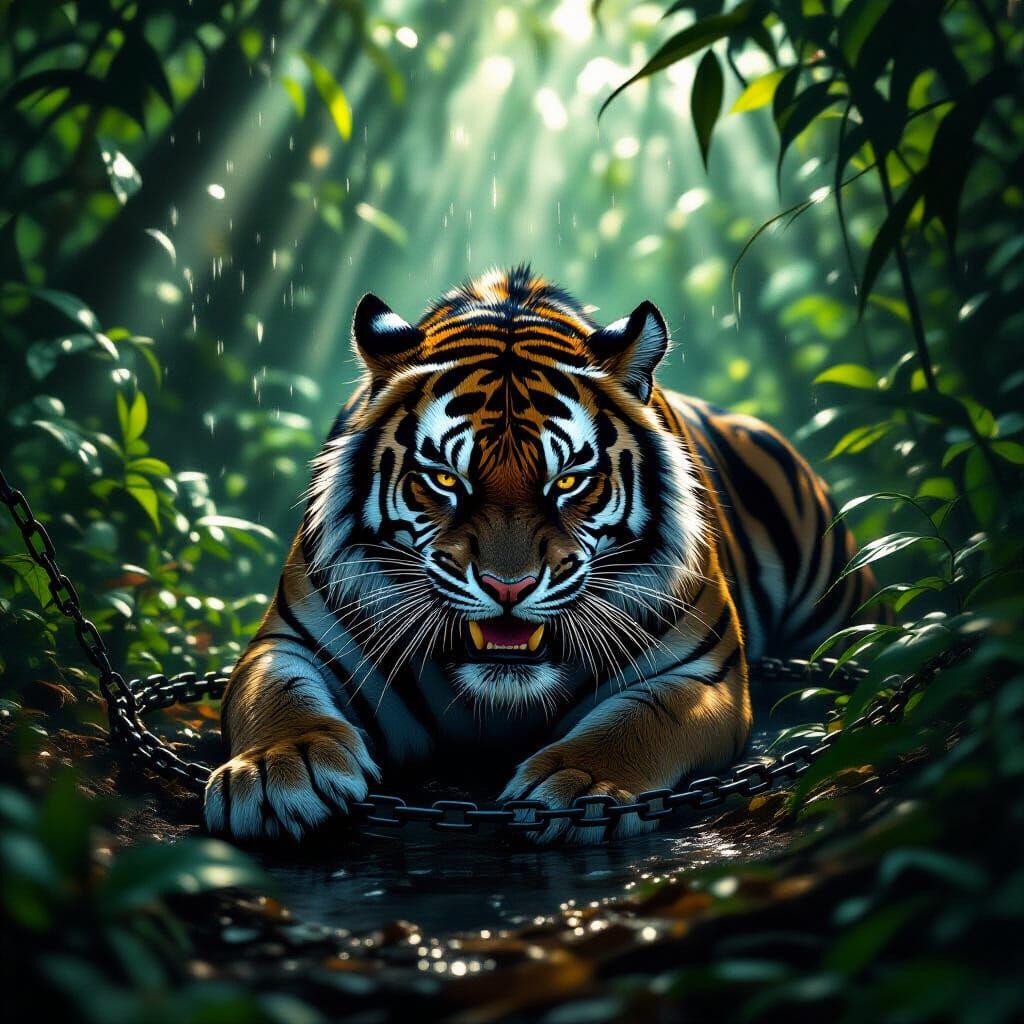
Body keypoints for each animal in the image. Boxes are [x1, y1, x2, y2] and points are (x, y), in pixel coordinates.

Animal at [204, 265, 873, 845]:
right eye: (445, 479)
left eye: (569, 481)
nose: (509, 587)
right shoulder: (291, 640)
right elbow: (279, 695)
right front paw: (278, 769)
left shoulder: (703, 672)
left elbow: (641, 719)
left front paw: (582, 784)